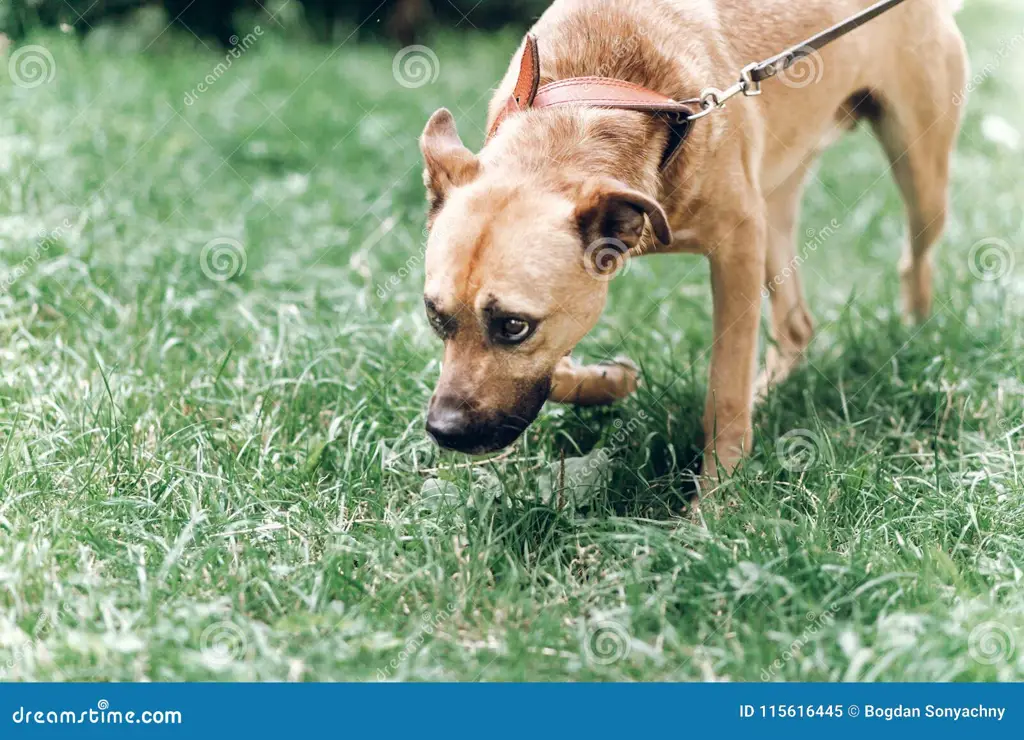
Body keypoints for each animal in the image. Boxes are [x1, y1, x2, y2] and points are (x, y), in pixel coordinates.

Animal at [417, 0, 966, 476]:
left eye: (514, 326)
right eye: (434, 316)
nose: (444, 431)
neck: (601, 95)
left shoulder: (737, 248)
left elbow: (724, 393)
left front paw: (716, 502)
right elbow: (557, 372)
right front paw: (610, 380)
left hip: (921, 183)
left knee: (915, 260)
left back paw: (916, 337)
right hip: (774, 210)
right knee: (796, 327)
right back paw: (768, 394)